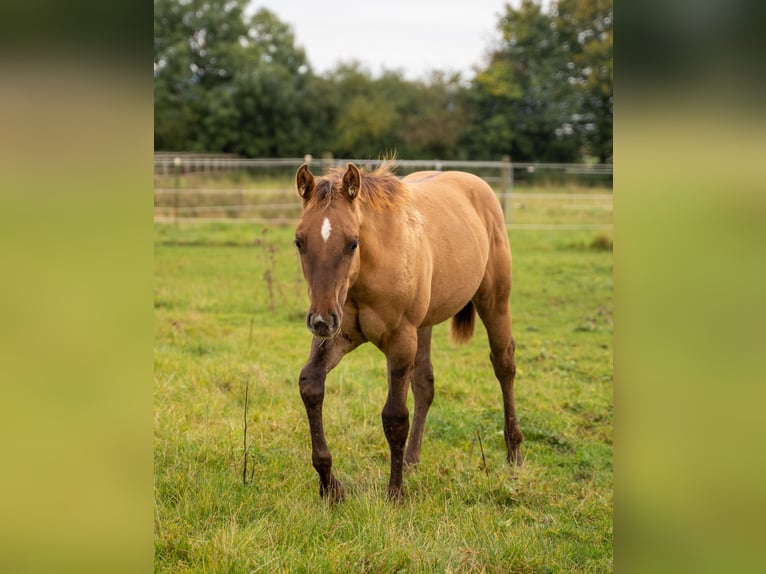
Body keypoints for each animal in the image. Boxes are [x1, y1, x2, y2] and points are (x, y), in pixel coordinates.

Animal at [293, 161, 523, 501]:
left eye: (352, 242)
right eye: (299, 241)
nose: (321, 320)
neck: (367, 273)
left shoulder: (400, 341)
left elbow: (395, 417)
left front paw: (395, 494)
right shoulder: (339, 337)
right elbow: (311, 385)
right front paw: (330, 487)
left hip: (494, 302)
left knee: (504, 365)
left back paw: (514, 454)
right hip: (423, 326)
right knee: (425, 385)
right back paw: (412, 459)